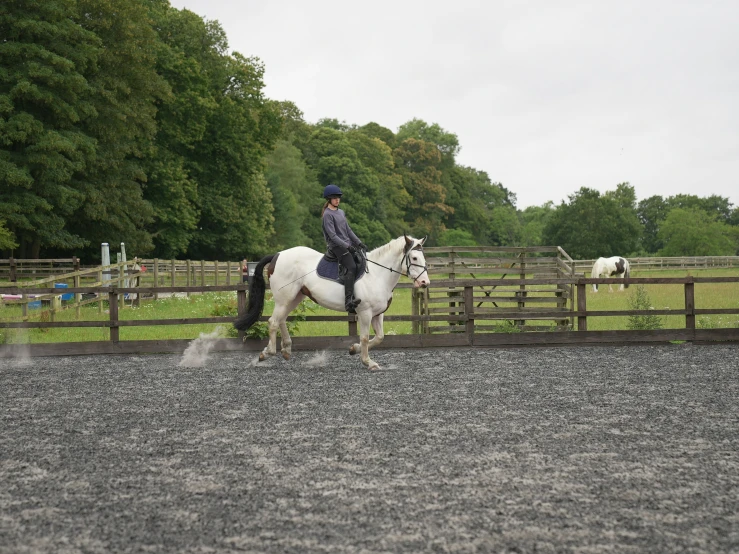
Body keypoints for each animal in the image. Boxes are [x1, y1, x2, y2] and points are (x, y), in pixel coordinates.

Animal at [234, 234, 430, 368]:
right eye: (414, 258)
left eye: (423, 258)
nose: (424, 283)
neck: (377, 274)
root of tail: (278, 255)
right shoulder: (365, 313)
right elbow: (365, 337)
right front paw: (368, 362)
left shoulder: (377, 314)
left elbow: (379, 337)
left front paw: (354, 349)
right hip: (284, 298)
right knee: (273, 322)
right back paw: (267, 353)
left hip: (295, 297)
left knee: (281, 320)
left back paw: (286, 350)